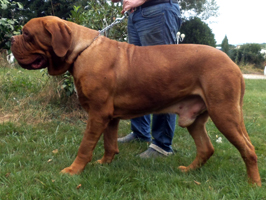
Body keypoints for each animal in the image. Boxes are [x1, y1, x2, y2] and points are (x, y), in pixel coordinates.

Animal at [10, 16, 260, 186]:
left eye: (27, 34)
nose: (11, 38)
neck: (81, 50)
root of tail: (233, 63)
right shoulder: (109, 117)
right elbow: (109, 143)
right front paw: (104, 163)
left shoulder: (97, 114)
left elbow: (85, 146)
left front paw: (73, 171)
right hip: (196, 118)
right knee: (206, 148)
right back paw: (189, 170)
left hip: (224, 113)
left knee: (248, 149)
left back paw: (253, 184)